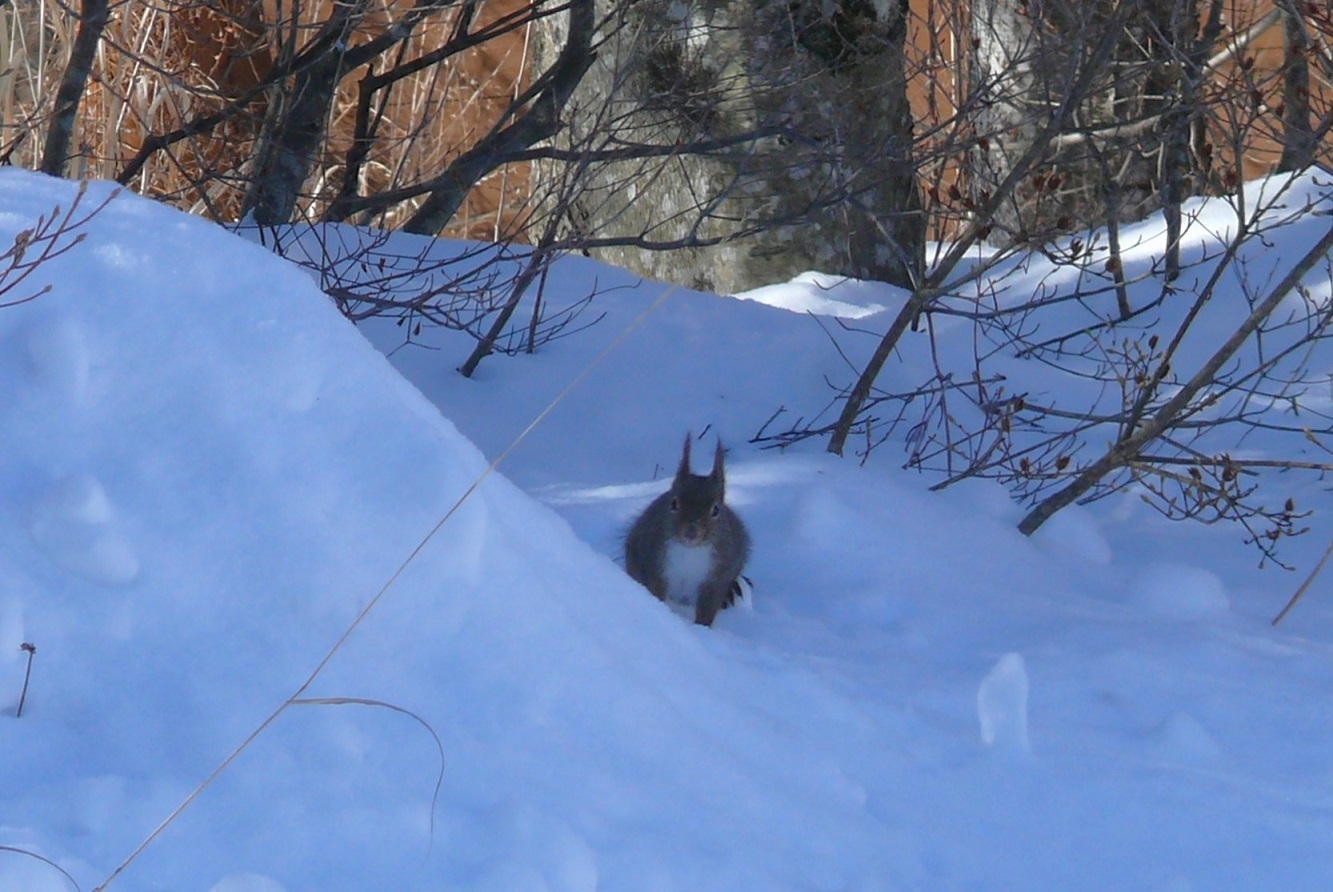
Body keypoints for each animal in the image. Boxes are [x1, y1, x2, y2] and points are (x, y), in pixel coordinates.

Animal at [623, 434, 751, 624]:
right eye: (674, 503)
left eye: (715, 510)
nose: (691, 531)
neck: (691, 550)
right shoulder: (658, 568)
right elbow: (656, 593)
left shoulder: (716, 579)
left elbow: (707, 610)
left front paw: (701, 628)